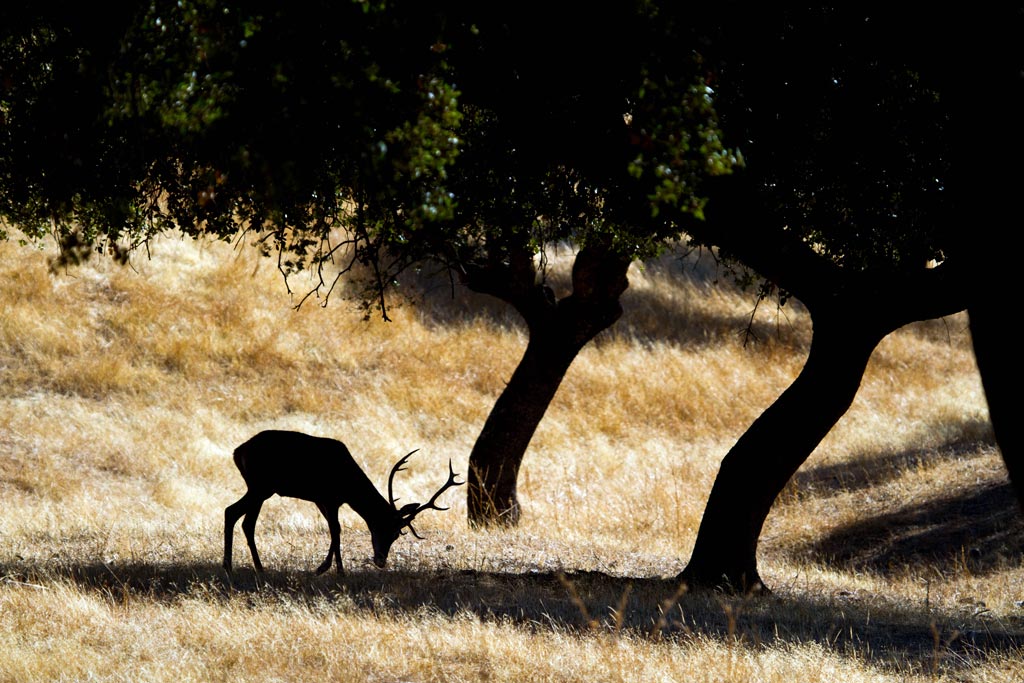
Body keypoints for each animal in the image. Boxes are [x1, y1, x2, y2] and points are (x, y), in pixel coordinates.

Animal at [226, 430, 466, 573]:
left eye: (397, 535)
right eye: (389, 531)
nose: (380, 561)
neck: (349, 485)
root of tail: (238, 451)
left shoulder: (323, 500)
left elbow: (334, 530)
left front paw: (326, 568)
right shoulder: (329, 497)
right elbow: (336, 529)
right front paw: (333, 570)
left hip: (260, 488)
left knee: (245, 521)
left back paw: (252, 567)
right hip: (261, 486)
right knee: (232, 512)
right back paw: (234, 566)